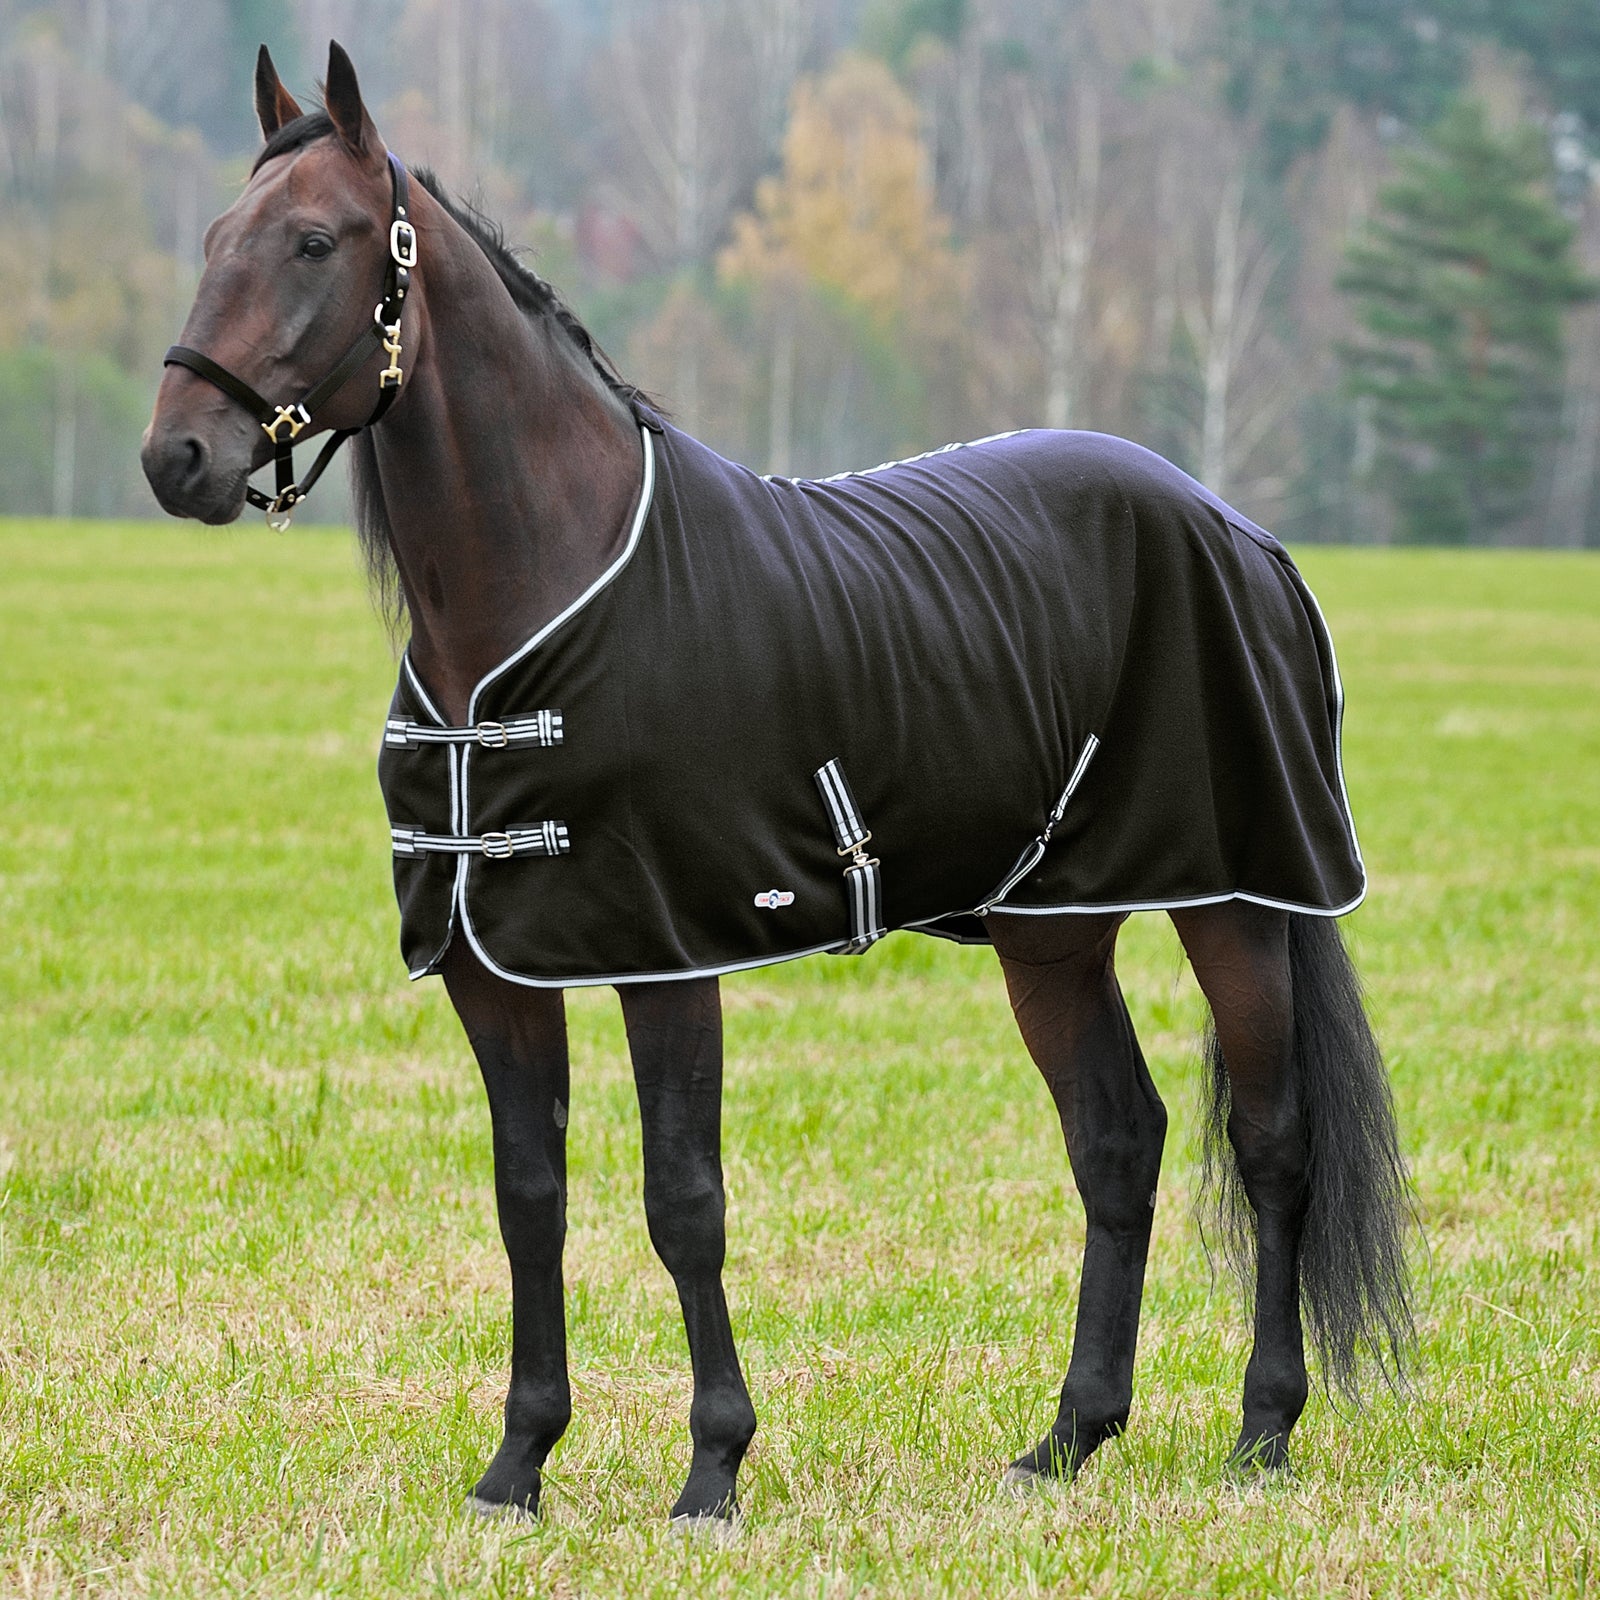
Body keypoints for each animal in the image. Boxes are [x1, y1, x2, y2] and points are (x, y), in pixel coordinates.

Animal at [141, 42, 1413, 1525]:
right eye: (215, 237)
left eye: (314, 240)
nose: (178, 457)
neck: (544, 592)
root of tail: (1237, 529)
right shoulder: (493, 968)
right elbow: (530, 1196)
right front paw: (518, 1463)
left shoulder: (665, 956)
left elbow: (682, 1199)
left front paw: (712, 1466)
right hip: (1051, 928)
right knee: (1119, 1139)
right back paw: (1068, 1436)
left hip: (1236, 900)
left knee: (1271, 1144)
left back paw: (1263, 1429)